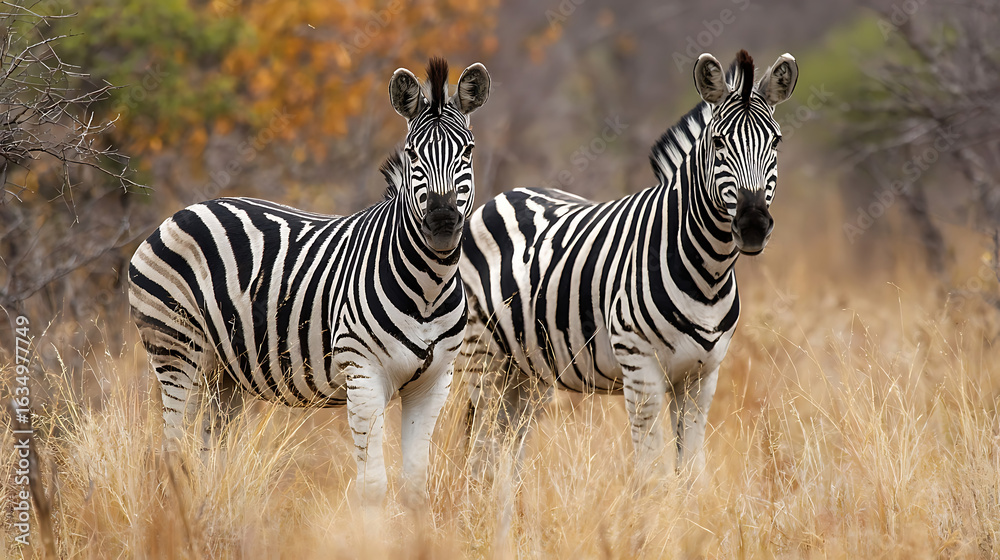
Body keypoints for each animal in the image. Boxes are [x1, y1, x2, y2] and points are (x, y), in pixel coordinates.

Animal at [128, 58, 490, 503]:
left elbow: (414, 486)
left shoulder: (434, 384)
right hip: (177, 351)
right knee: (172, 454)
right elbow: (373, 486)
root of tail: (180, 213)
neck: (428, 287)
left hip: (224, 373)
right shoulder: (363, 375)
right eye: (411, 153)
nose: (441, 220)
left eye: (468, 150)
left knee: (212, 453)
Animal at [460, 50, 797, 480]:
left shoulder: (702, 376)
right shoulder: (640, 369)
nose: (753, 225)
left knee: (508, 448)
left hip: (529, 372)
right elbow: (651, 472)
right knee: (481, 453)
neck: (708, 273)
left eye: (776, 141)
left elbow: (691, 470)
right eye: (718, 141)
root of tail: (505, 195)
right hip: (484, 359)